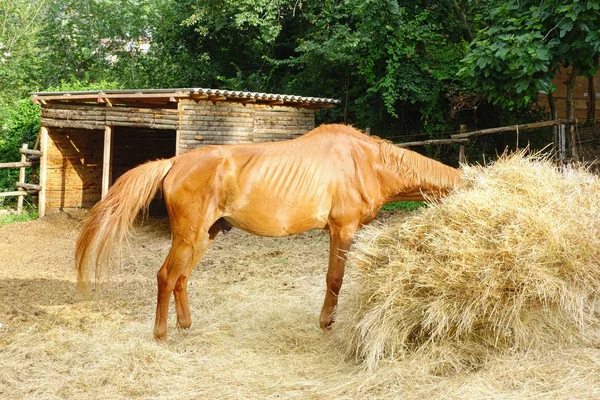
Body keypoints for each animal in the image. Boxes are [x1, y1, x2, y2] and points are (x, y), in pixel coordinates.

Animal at [75, 122, 460, 340]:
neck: (365, 162)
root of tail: (174, 162)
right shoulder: (342, 230)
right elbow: (335, 280)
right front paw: (327, 324)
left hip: (204, 236)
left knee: (181, 278)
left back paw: (185, 326)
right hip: (188, 236)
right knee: (166, 276)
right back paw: (161, 335)